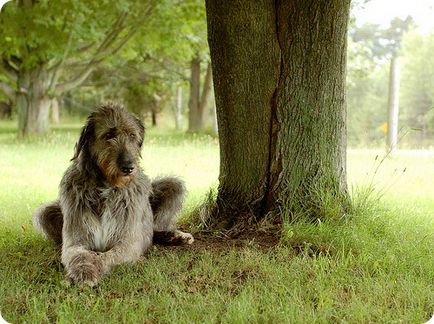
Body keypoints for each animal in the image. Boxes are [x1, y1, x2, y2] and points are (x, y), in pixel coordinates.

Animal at [34, 103, 194, 286]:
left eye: (132, 135)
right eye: (109, 135)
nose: (128, 167)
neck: (106, 186)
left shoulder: (127, 242)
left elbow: (105, 256)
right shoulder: (75, 241)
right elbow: (78, 254)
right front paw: (82, 271)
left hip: (172, 187)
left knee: (154, 229)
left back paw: (174, 236)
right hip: (45, 213)